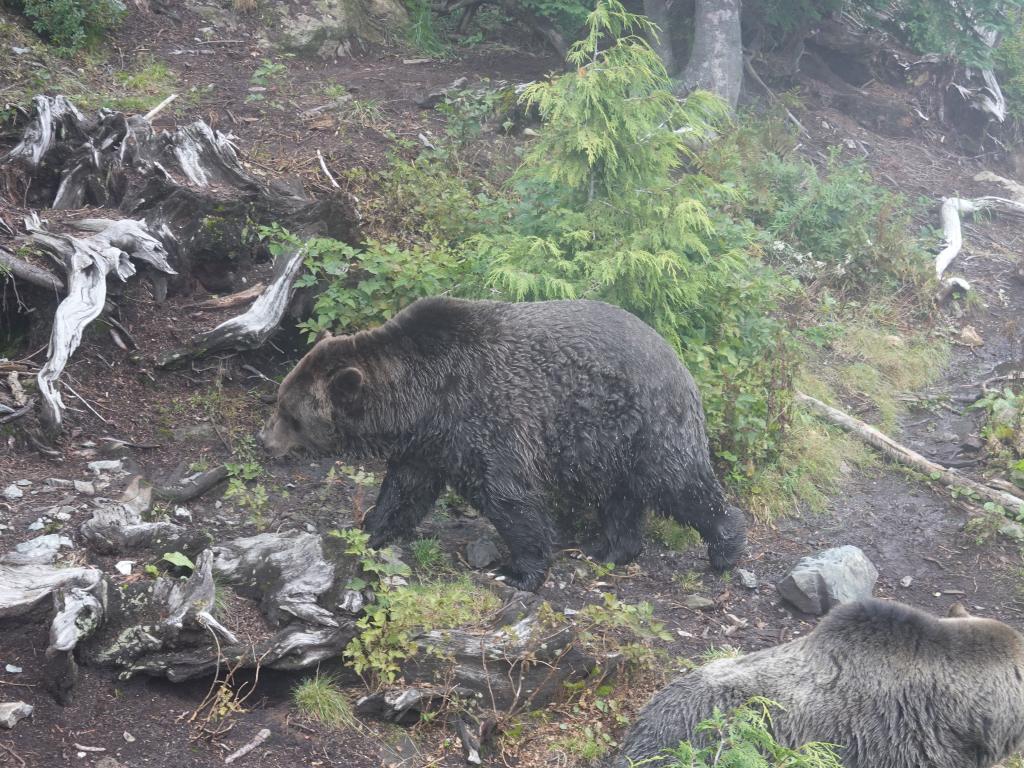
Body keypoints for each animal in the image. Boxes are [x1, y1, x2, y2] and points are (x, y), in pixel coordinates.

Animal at [260, 296, 749, 593]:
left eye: (292, 415)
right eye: (280, 400)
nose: (265, 441)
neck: (423, 397)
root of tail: (678, 360)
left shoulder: (486, 416)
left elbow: (507, 493)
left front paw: (520, 570)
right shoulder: (429, 444)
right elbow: (404, 491)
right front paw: (368, 529)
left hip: (646, 420)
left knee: (678, 482)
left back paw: (725, 547)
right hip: (609, 444)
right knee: (621, 497)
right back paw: (611, 550)